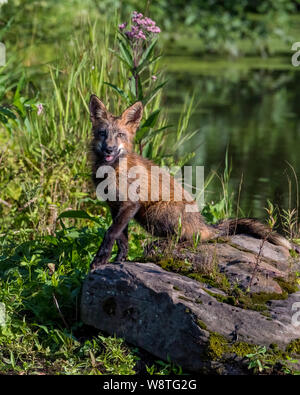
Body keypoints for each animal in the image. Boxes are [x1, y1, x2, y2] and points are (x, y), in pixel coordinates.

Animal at [88, 94, 298, 270]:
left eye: (120, 135)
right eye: (102, 133)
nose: (109, 149)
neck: (112, 171)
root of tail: (201, 221)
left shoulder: (131, 204)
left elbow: (111, 233)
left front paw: (100, 259)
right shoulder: (115, 207)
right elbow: (121, 238)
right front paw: (118, 260)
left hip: (155, 214)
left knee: (192, 238)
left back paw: (164, 243)